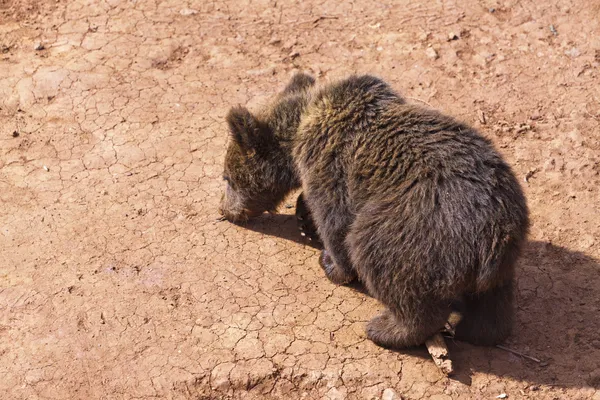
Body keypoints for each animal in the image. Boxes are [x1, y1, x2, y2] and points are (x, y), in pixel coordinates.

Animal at [218, 73, 528, 348]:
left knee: (382, 260)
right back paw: (478, 332)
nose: (224, 210)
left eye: (226, 178)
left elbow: (335, 221)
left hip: (414, 224)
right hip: (500, 242)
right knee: (493, 298)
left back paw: (386, 330)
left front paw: (331, 264)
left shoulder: (329, 163)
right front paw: (304, 219)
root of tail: (494, 235)